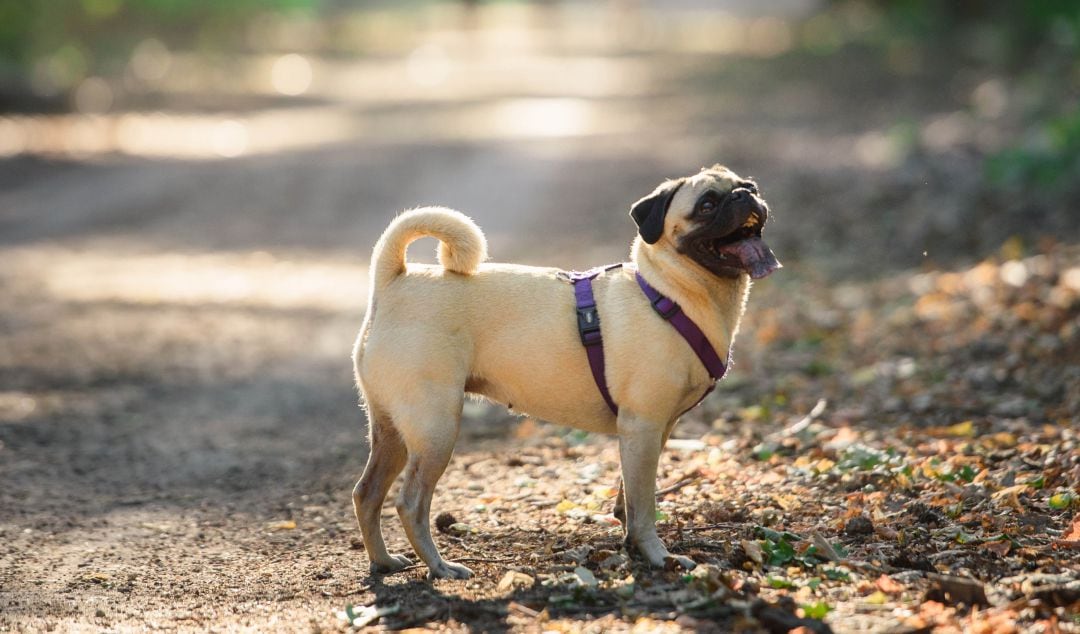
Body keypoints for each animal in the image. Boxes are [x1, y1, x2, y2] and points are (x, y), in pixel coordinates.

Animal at [352, 165, 777, 578]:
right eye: (707, 204)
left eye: (750, 186)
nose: (744, 196)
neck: (669, 291)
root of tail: (396, 278)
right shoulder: (642, 426)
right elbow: (644, 506)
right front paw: (658, 556)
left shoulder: (652, 432)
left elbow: (628, 499)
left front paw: (632, 547)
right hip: (435, 430)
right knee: (410, 504)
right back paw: (439, 567)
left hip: (392, 431)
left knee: (367, 493)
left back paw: (383, 562)